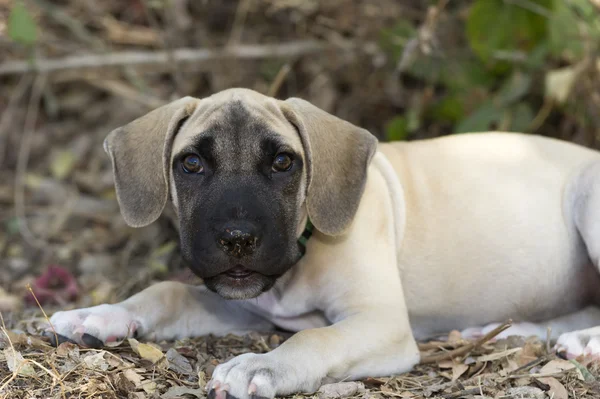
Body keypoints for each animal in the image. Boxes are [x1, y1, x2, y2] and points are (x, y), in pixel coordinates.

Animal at [49, 90, 600, 399]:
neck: (301, 258)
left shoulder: (381, 323)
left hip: (589, 201)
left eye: (282, 163)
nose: (237, 239)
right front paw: (100, 314)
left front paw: (262, 365)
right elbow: (167, 290)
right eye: (191, 164)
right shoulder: (244, 302)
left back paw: (583, 342)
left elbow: (315, 337)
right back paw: (511, 331)